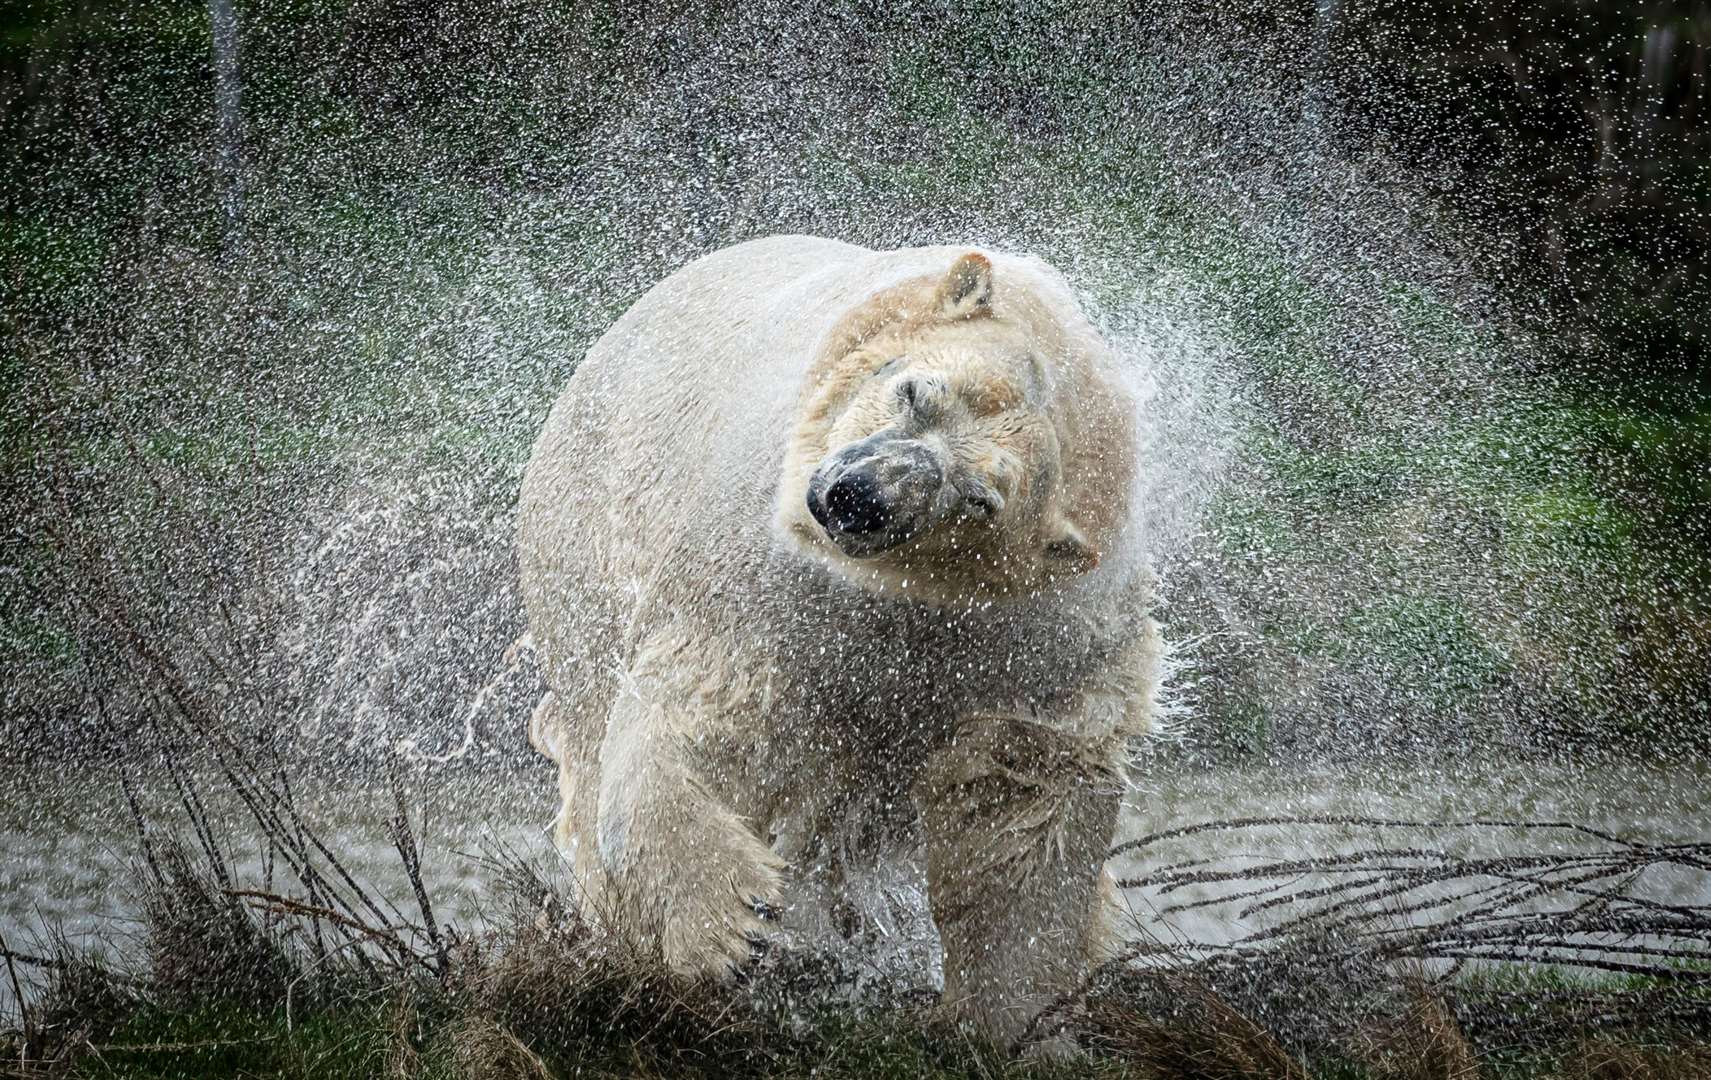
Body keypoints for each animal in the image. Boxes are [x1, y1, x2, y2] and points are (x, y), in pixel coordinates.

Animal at [516, 237, 1163, 1047]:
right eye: (915, 390)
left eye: (979, 499)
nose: (860, 496)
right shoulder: (765, 573)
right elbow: (713, 704)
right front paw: (726, 928)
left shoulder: (1044, 639)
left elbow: (1021, 791)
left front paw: (1017, 1016)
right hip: (589, 529)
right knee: (590, 713)